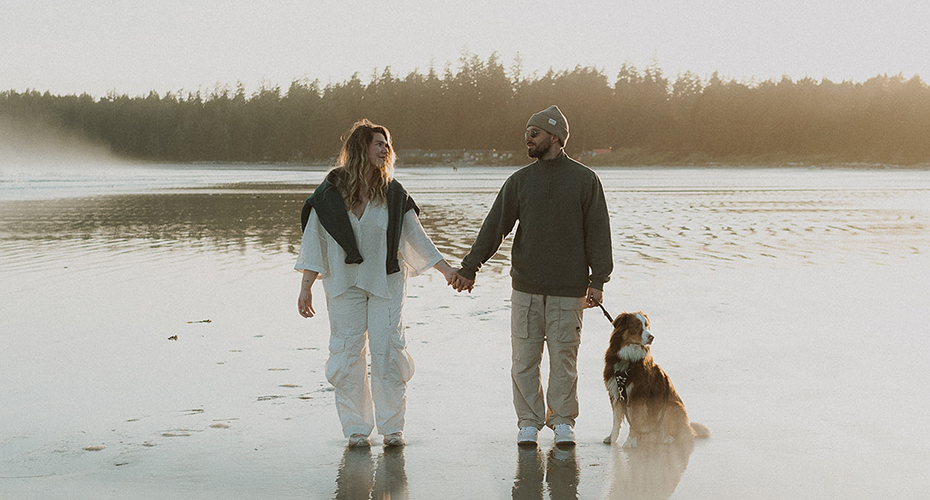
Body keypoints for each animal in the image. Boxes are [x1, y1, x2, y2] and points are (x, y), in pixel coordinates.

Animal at [600, 310, 708, 448]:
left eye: (647, 326)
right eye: (637, 326)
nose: (652, 337)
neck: (628, 357)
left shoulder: (638, 394)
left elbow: (635, 420)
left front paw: (630, 441)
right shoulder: (615, 392)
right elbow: (616, 421)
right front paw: (612, 438)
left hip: (672, 406)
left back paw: (668, 438)